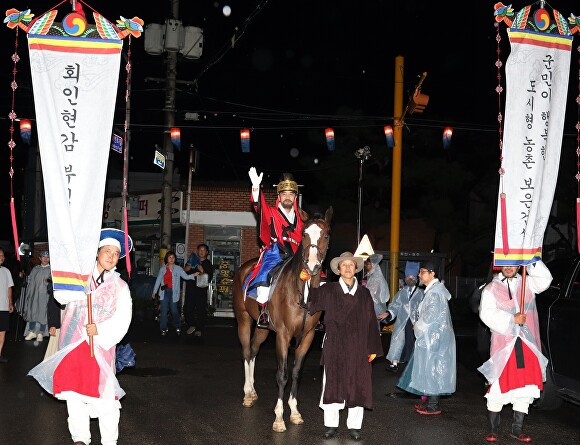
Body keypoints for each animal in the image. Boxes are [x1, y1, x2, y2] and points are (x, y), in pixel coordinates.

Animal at [231, 207, 330, 430]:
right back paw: (247, 393)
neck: (302, 292)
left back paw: (252, 391)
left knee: (253, 350)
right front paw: (278, 417)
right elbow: (282, 375)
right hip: (243, 319)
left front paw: (294, 411)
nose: (312, 265)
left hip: (263, 328)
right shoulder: (283, 336)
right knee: (246, 351)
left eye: (326, 235)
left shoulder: (307, 337)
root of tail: (244, 268)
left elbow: (296, 373)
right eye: (304, 234)